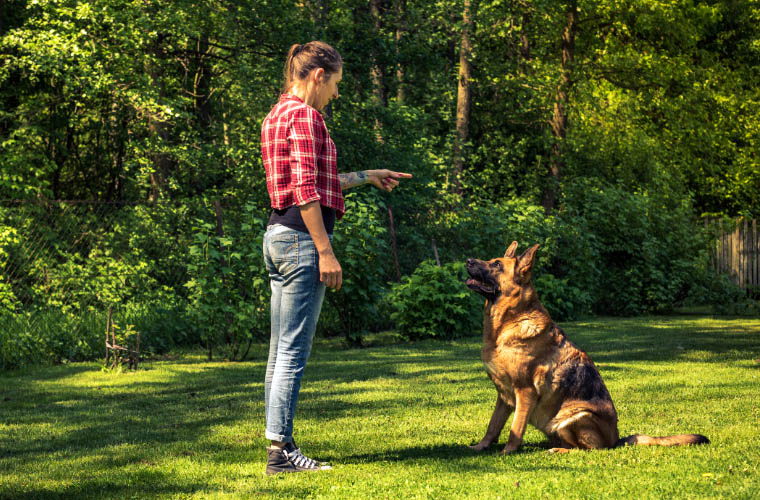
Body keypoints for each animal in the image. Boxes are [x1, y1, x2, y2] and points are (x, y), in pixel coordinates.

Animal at [466, 241, 708, 454]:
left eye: (497, 265)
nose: (467, 260)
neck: (506, 324)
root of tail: (616, 440)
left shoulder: (524, 392)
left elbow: (515, 428)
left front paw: (507, 452)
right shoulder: (504, 396)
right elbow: (493, 426)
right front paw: (480, 447)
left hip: (574, 417)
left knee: (588, 450)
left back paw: (559, 450)